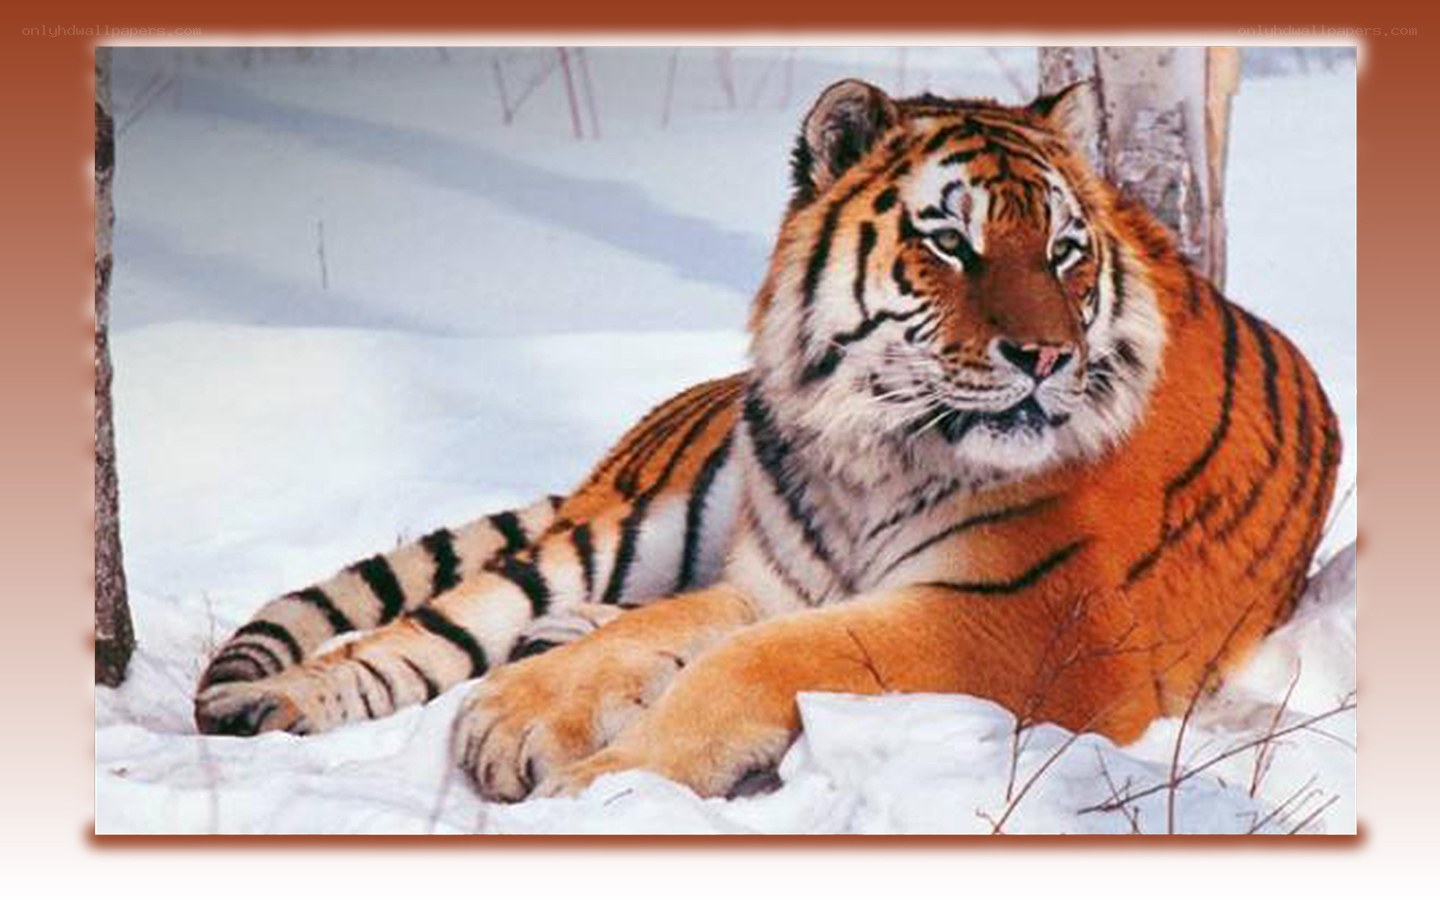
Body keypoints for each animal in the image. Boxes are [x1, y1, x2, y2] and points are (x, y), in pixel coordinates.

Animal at [194, 78, 1340, 803]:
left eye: (1065, 252)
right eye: (950, 243)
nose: (1047, 357)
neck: (873, 449)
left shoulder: (1017, 622)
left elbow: (751, 661)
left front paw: (603, 786)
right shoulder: (780, 581)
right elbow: (671, 633)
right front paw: (516, 718)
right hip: (611, 530)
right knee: (428, 632)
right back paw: (268, 706)